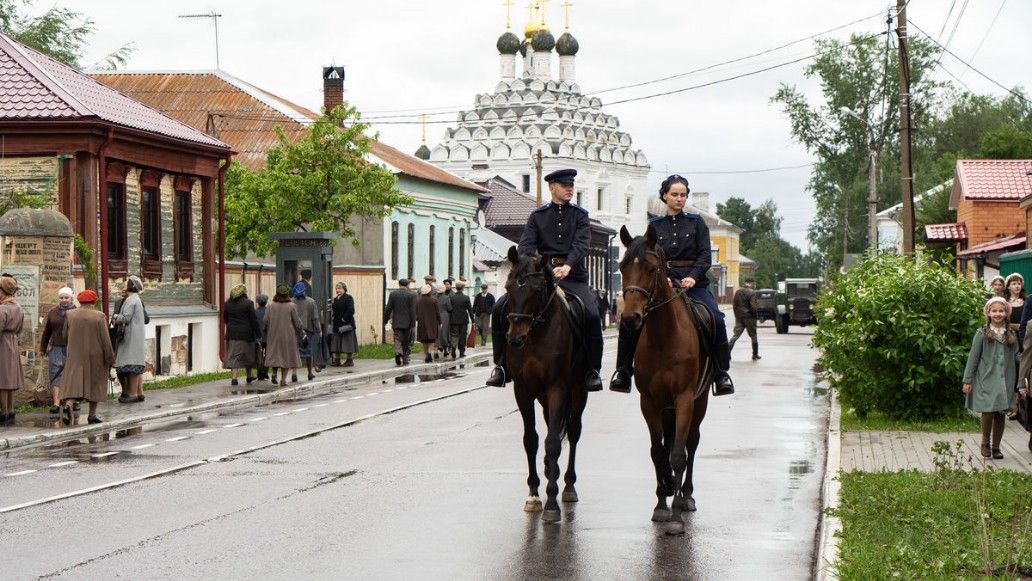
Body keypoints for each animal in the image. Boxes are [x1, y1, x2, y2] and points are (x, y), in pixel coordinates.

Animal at [501, 245, 590, 522]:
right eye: (508, 287)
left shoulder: (557, 388)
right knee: (553, 423)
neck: (536, 334)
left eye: (535, 289)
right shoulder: (523, 390)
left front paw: (551, 504)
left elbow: (552, 442)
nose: (514, 338)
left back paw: (568, 485)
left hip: (578, 390)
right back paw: (553, 471)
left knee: (572, 431)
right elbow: (531, 439)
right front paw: (533, 495)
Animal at [619, 226, 710, 536]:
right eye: (621, 267)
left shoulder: (684, 400)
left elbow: (679, 454)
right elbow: (658, 452)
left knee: (692, 443)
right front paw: (661, 503)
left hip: (699, 403)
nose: (630, 318)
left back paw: (688, 496)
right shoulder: (649, 403)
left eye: (651, 268)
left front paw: (676, 514)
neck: (664, 337)